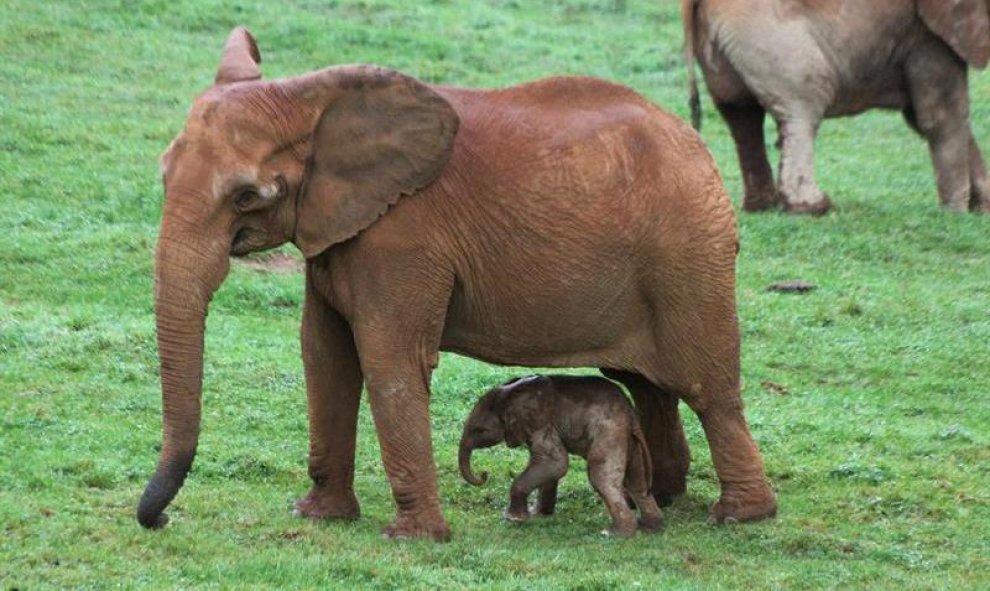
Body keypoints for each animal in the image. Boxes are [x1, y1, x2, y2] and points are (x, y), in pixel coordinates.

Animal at [460, 376, 664, 540]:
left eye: (480, 430)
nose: (484, 474)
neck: (509, 394)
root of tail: (630, 412)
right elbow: (548, 468)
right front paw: (539, 515)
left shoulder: (542, 425)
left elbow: (555, 464)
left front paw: (513, 519)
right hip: (628, 439)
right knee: (636, 480)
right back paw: (650, 527)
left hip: (609, 432)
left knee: (601, 477)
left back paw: (614, 534)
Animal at [684, 0, 990, 215]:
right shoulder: (926, 33)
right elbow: (941, 116)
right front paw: (955, 214)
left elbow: (929, 116)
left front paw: (981, 209)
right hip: (772, 36)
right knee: (803, 105)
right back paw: (813, 207)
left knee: (741, 113)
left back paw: (762, 206)